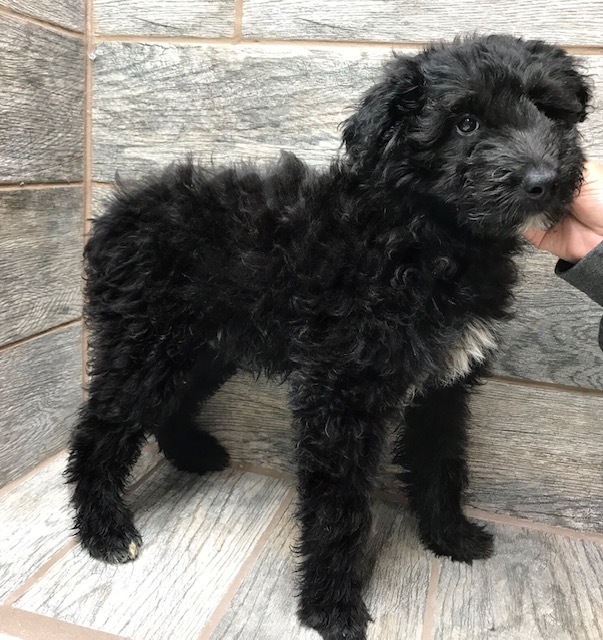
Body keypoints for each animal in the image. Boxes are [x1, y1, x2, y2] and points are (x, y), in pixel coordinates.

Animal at [66, 35, 588, 640]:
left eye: (550, 111)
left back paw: (191, 454)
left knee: (170, 406)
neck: (428, 238)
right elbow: (339, 507)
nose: (543, 180)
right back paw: (103, 531)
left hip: (201, 349)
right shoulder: (340, 393)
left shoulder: (443, 387)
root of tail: (115, 213)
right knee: (101, 428)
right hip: (147, 347)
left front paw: (450, 538)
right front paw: (332, 608)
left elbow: (441, 461)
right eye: (465, 123)